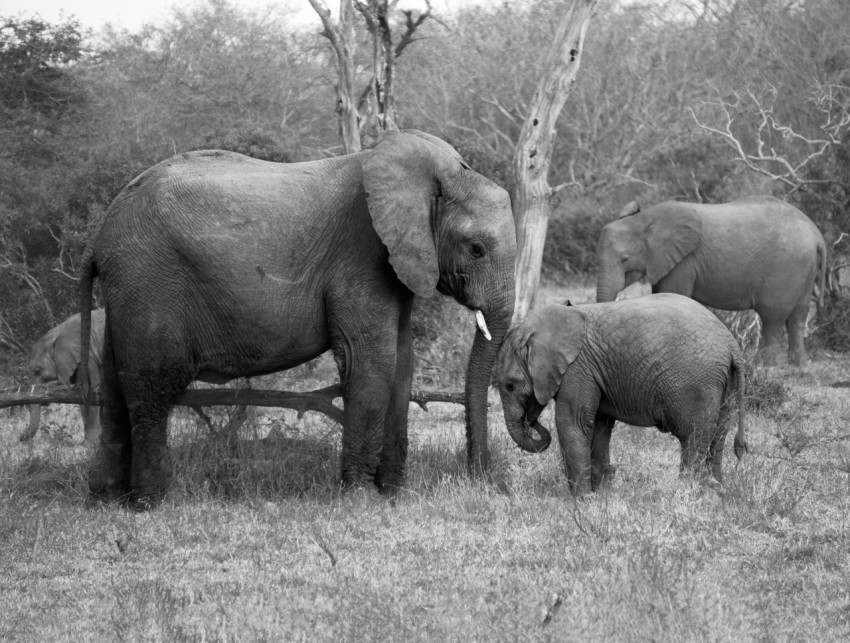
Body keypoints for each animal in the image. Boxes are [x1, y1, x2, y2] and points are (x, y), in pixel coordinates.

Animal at [22, 310, 106, 446]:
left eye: (37, 371)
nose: (20, 437)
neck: (56, 333)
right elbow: (80, 394)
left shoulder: (86, 355)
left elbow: (92, 389)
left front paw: (89, 445)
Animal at [78, 130, 516, 508]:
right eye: (476, 249)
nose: (484, 478)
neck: (439, 174)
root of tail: (98, 238)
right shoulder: (363, 255)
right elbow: (371, 362)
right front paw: (361, 499)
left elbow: (402, 364)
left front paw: (394, 495)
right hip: (149, 281)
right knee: (152, 386)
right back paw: (152, 503)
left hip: (129, 291)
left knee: (116, 388)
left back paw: (107, 500)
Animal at [494, 294, 744, 496]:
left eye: (510, 386)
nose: (532, 421)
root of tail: (731, 345)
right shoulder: (591, 371)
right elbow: (598, 425)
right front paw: (601, 494)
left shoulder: (577, 369)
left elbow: (573, 422)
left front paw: (580, 500)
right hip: (724, 383)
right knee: (719, 434)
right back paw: (715, 489)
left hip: (695, 383)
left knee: (693, 436)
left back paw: (687, 492)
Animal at [592, 195, 824, 368]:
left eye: (624, 259)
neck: (644, 220)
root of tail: (816, 234)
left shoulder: (685, 261)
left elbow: (675, 295)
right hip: (803, 268)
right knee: (798, 317)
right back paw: (799, 366)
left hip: (786, 267)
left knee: (772, 317)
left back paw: (768, 367)